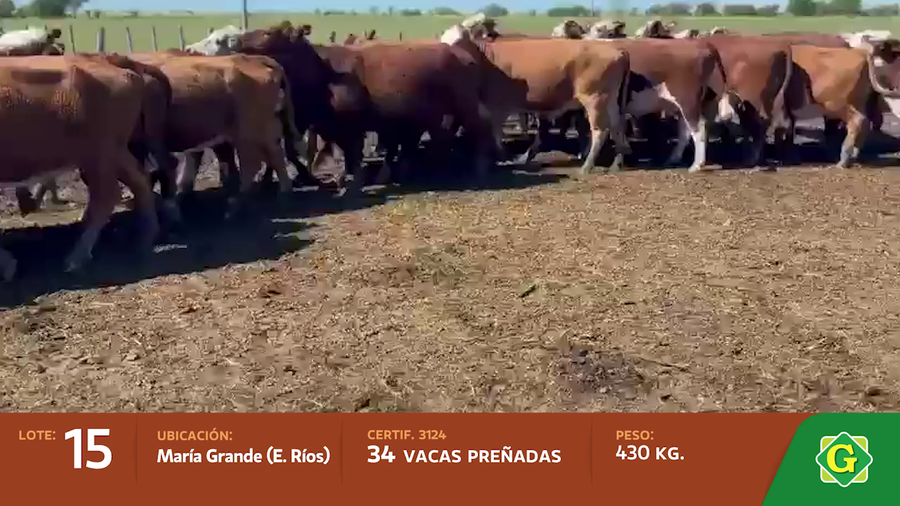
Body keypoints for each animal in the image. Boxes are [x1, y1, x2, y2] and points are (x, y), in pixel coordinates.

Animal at [0, 54, 161, 280]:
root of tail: (106, 59)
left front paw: (7, 265)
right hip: (113, 153)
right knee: (139, 180)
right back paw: (146, 237)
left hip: (100, 156)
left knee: (107, 196)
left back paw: (77, 257)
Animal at [440, 18, 632, 175]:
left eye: (461, 40)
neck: (485, 58)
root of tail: (618, 51)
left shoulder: (499, 106)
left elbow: (496, 133)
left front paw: (504, 156)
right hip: (609, 99)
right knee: (617, 125)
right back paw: (617, 162)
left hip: (594, 98)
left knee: (600, 131)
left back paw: (587, 165)